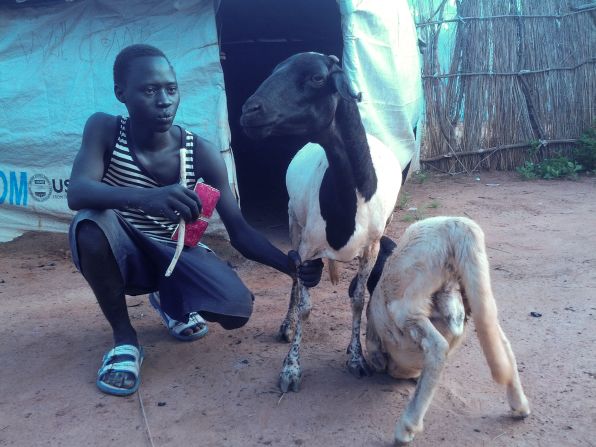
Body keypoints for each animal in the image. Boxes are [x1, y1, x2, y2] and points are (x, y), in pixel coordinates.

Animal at [240, 51, 402, 392]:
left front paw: (356, 358)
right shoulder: (308, 246)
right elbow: (303, 301)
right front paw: (291, 368)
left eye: (316, 78)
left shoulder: (372, 247)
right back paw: (287, 325)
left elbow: (358, 299)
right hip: (293, 220)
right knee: (293, 275)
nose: (249, 111)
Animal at [364, 217, 532, 444]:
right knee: (500, 343)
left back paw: (406, 428)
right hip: (475, 294)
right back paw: (520, 406)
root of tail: (457, 224)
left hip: (406, 304)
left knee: (437, 347)